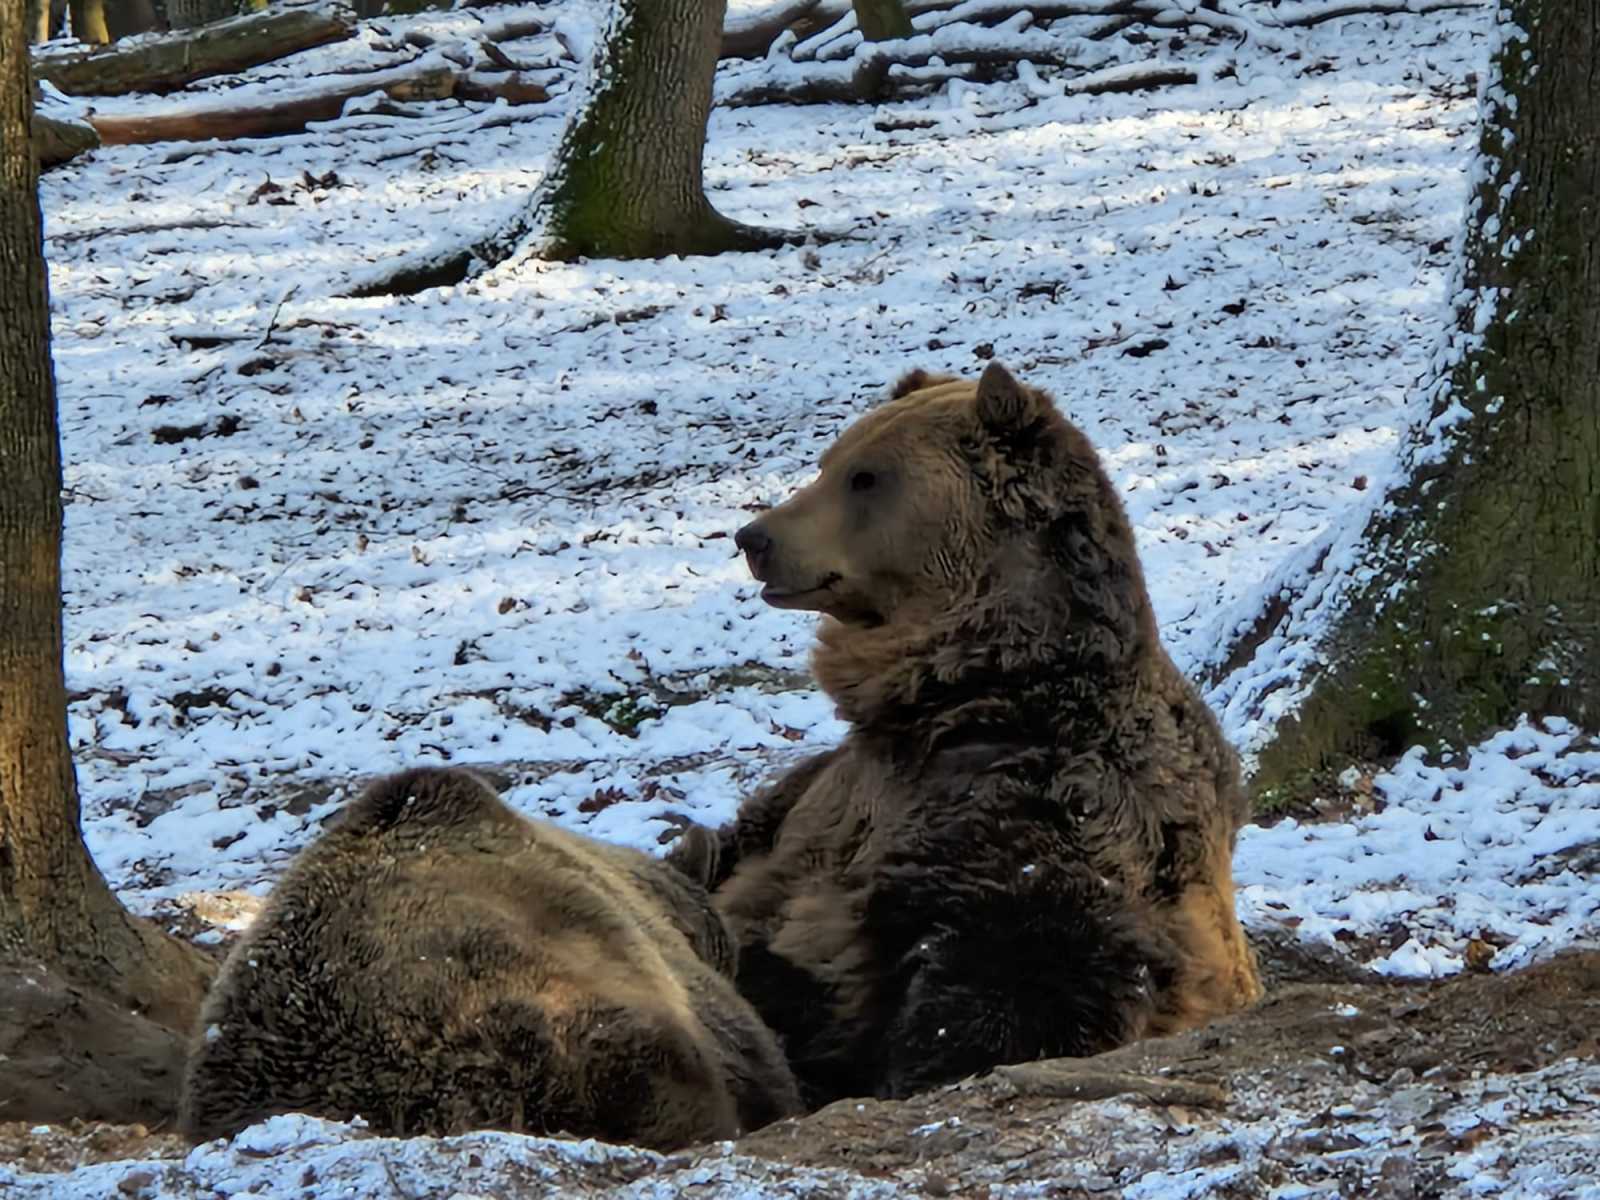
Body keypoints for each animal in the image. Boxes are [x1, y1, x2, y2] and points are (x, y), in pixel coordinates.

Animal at [681, 364, 1267, 1107]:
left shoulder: (1052, 807)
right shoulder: (841, 791)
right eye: (829, 462)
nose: (754, 537)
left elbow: (1012, 983)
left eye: (866, 478)